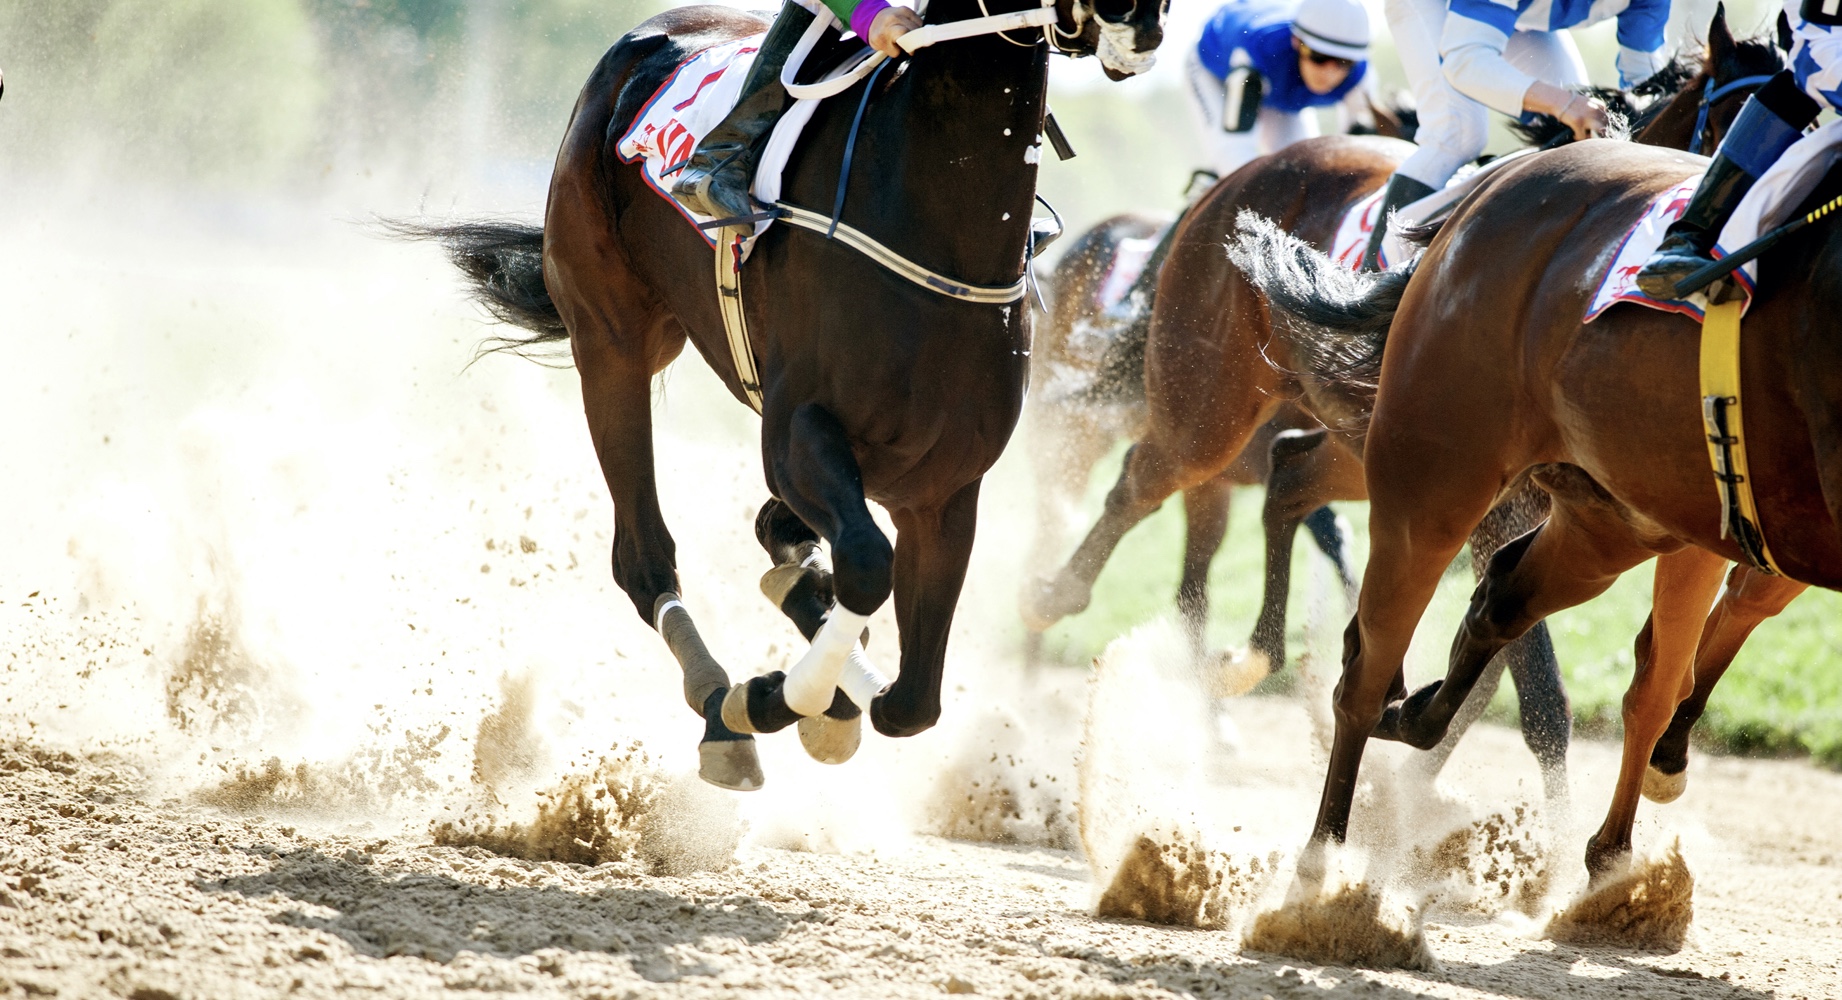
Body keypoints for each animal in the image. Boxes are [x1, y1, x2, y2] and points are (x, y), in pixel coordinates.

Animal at [398, 0, 1166, 791]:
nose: (1140, 24)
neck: (939, 230)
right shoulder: (800, 431)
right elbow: (867, 565)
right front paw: (770, 698)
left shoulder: (943, 487)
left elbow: (911, 701)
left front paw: (820, 679)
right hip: (612, 342)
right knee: (643, 557)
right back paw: (719, 703)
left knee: (780, 543)